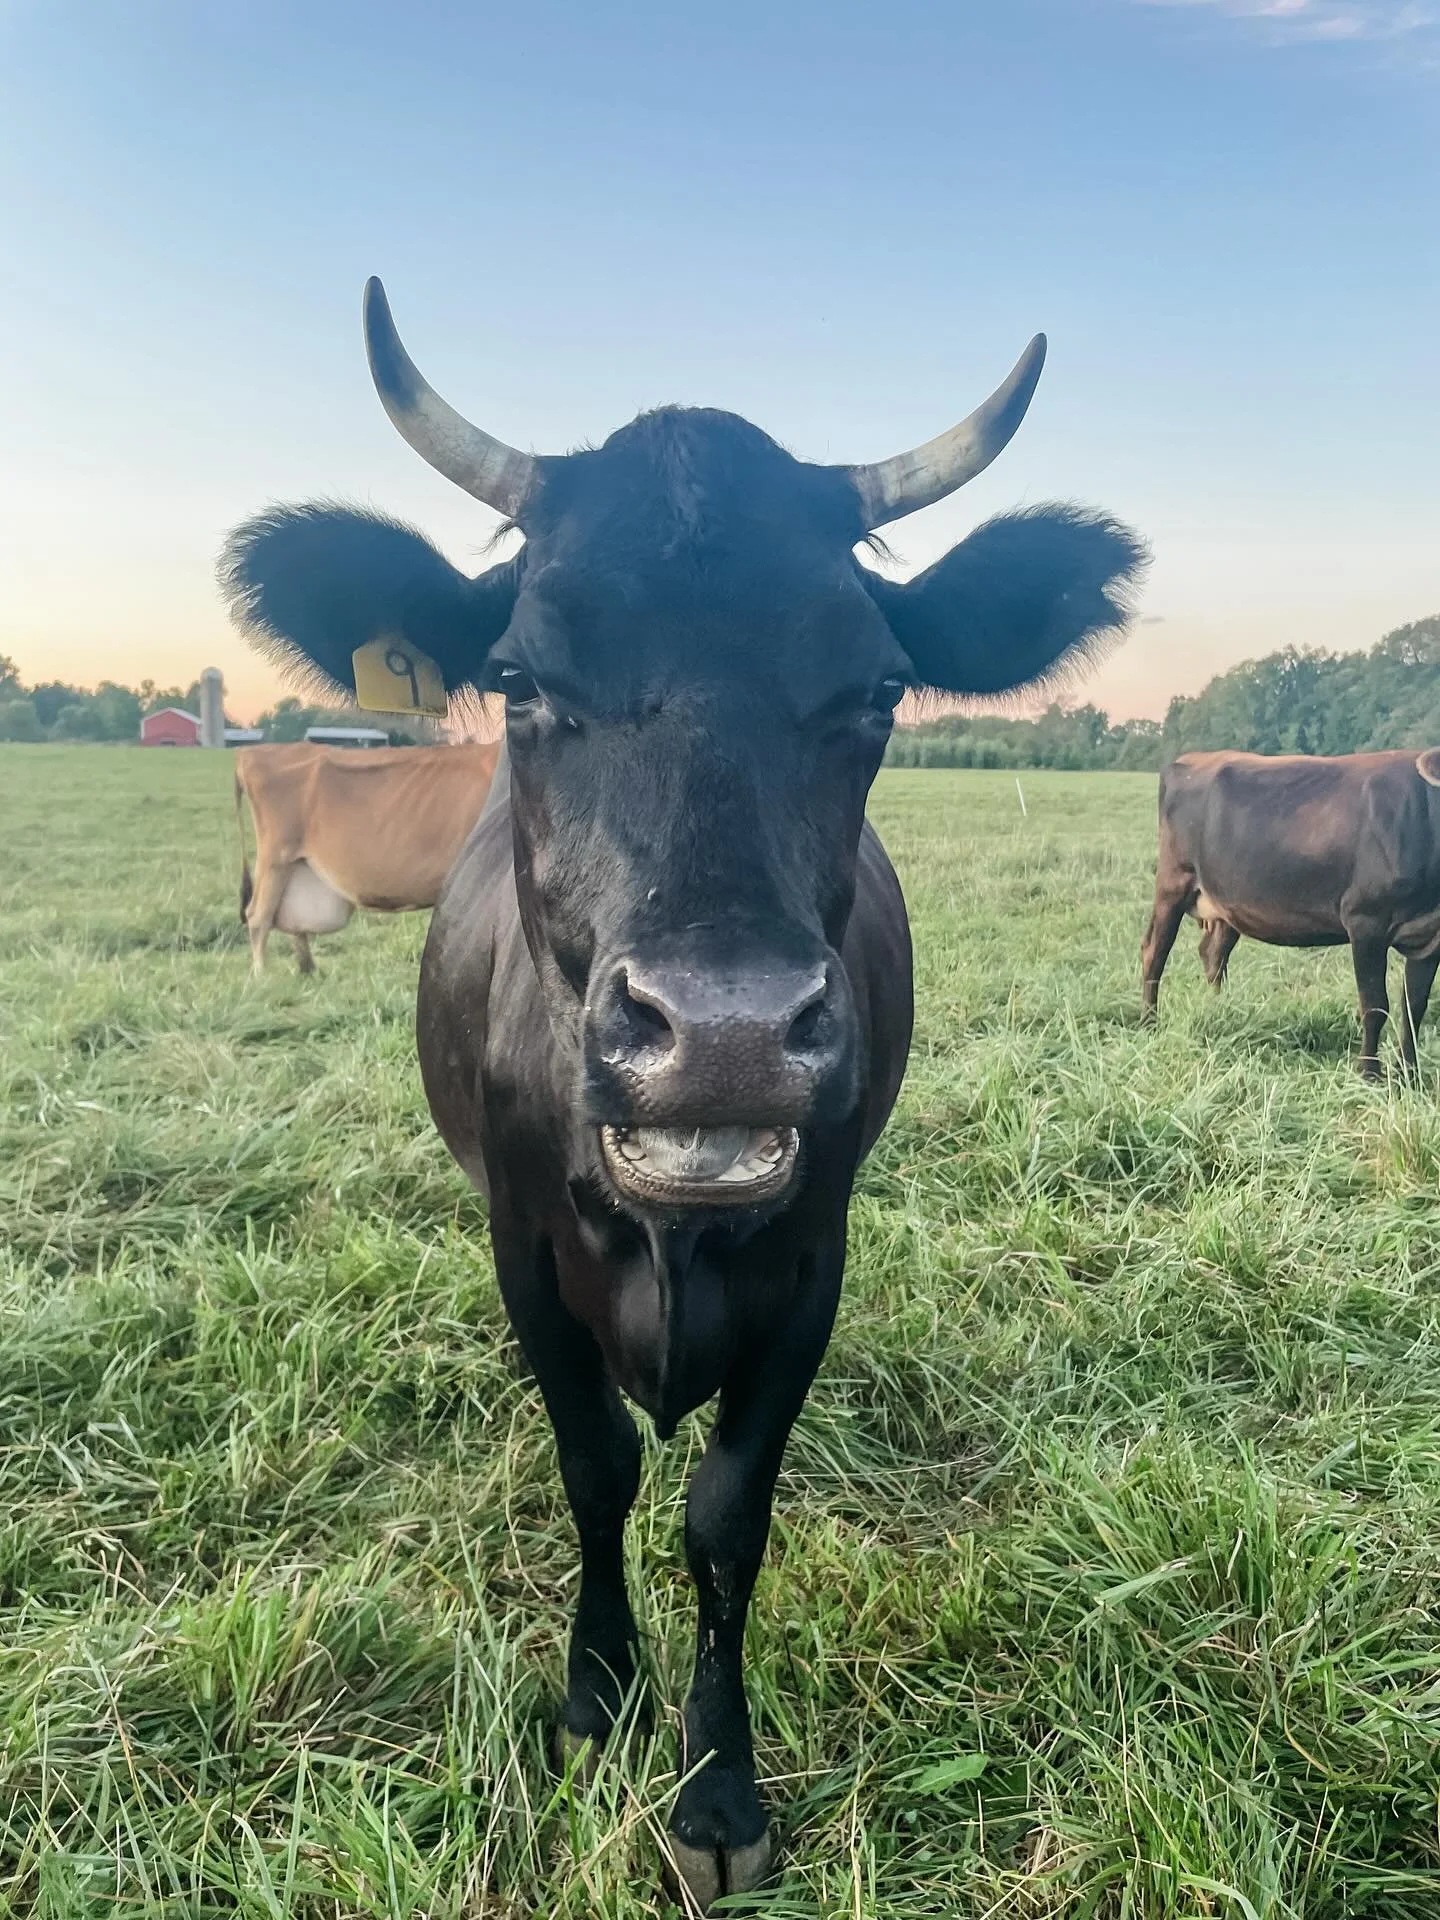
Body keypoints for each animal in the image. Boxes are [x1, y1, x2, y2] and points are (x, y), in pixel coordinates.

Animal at [234, 739, 499, 972]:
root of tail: (249, 753)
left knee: (291, 923)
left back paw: (309, 970)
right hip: (276, 858)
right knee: (258, 916)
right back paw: (262, 976)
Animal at [1142, 748, 1440, 1076]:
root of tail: (1192, 758)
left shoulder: (1430, 937)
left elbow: (1414, 1008)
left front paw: (1409, 1076)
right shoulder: (1365, 921)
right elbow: (1375, 1006)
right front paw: (1369, 1074)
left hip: (1227, 903)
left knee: (1213, 955)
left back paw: (1217, 1010)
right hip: (1173, 883)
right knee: (1154, 952)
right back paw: (1149, 1024)